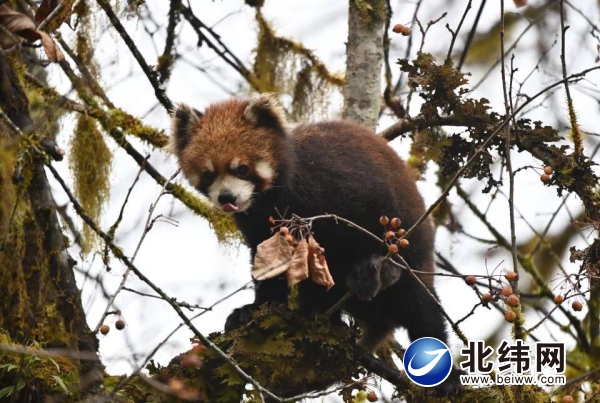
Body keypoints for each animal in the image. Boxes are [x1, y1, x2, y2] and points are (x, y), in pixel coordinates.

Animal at [171, 94, 462, 394]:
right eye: (209, 174)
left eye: (241, 169)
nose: (227, 197)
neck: (276, 196)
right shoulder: (258, 225)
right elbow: (268, 264)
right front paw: (254, 309)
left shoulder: (342, 185)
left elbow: (377, 222)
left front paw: (374, 268)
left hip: (416, 260)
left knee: (420, 307)